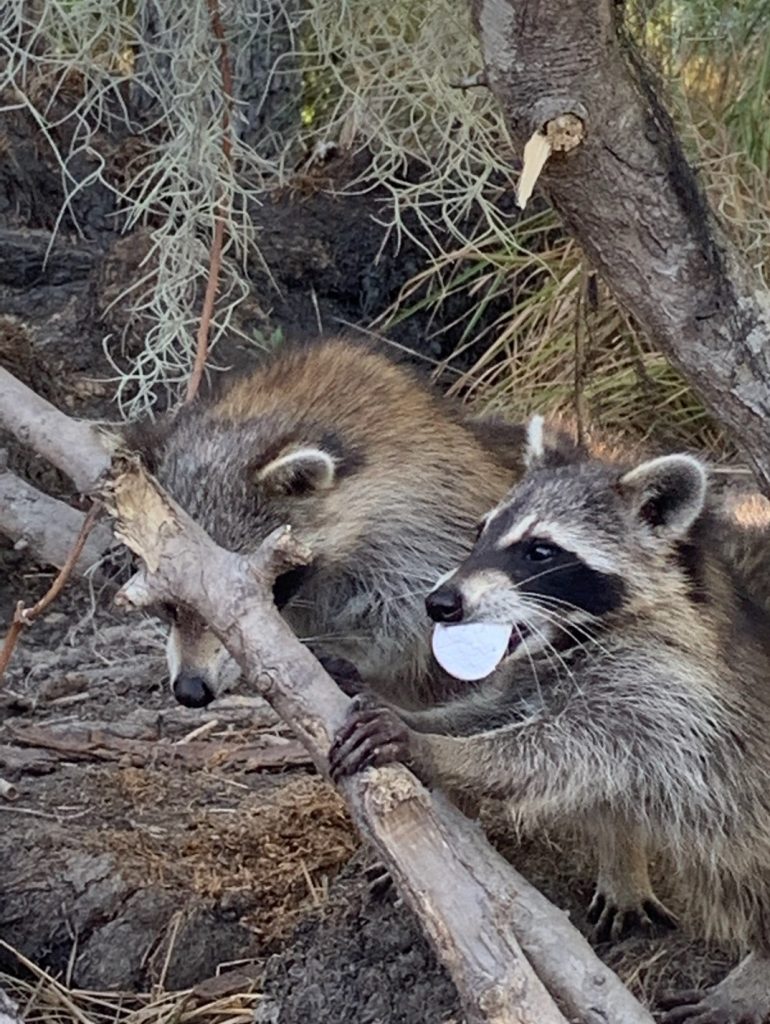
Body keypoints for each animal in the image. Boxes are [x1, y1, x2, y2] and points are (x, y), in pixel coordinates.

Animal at [331, 415, 770, 1024]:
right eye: (481, 533)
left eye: (540, 551)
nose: (440, 604)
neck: (575, 638)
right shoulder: (542, 676)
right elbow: (489, 710)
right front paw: (419, 718)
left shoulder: (664, 695)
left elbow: (556, 754)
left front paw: (428, 747)